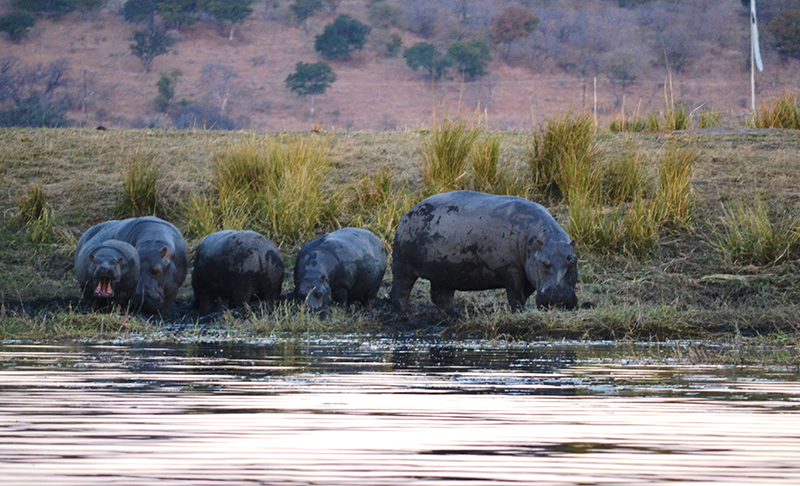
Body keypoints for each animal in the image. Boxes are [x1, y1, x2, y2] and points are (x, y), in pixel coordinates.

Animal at [390, 190, 578, 312]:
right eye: (544, 263)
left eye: (572, 261)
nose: (559, 298)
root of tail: (409, 211)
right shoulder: (513, 269)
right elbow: (516, 296)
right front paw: (519, 313)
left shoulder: (529, 274)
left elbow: (524, 294)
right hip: (403, 265)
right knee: (401, 290)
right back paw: (405, 316)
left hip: (444, 270)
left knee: (441, 296)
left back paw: (452, 315)